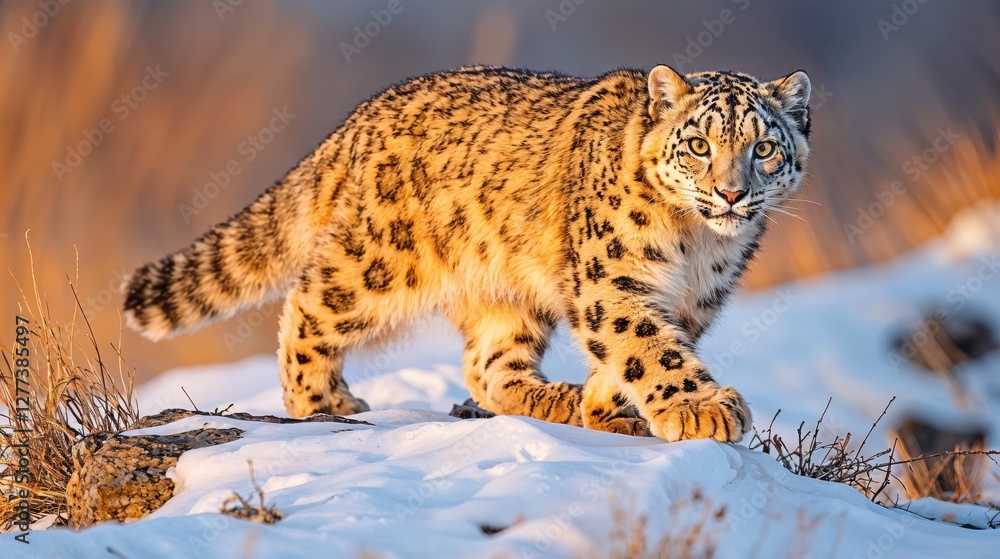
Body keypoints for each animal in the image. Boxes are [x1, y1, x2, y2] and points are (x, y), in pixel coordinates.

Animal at [123, 64, 811, 443]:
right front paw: (704, 409)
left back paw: (555, 398)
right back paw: (322, 403)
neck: (697, 247)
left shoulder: (696, 301)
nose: (731, 192)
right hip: (378, 261)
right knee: (308, 305)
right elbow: (645, 345)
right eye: (698, 145)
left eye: (764, 148)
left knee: (487, 366)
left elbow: (642, 351)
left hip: (505, 291)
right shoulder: (611, 281)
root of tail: (355, 121)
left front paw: (604, 407)